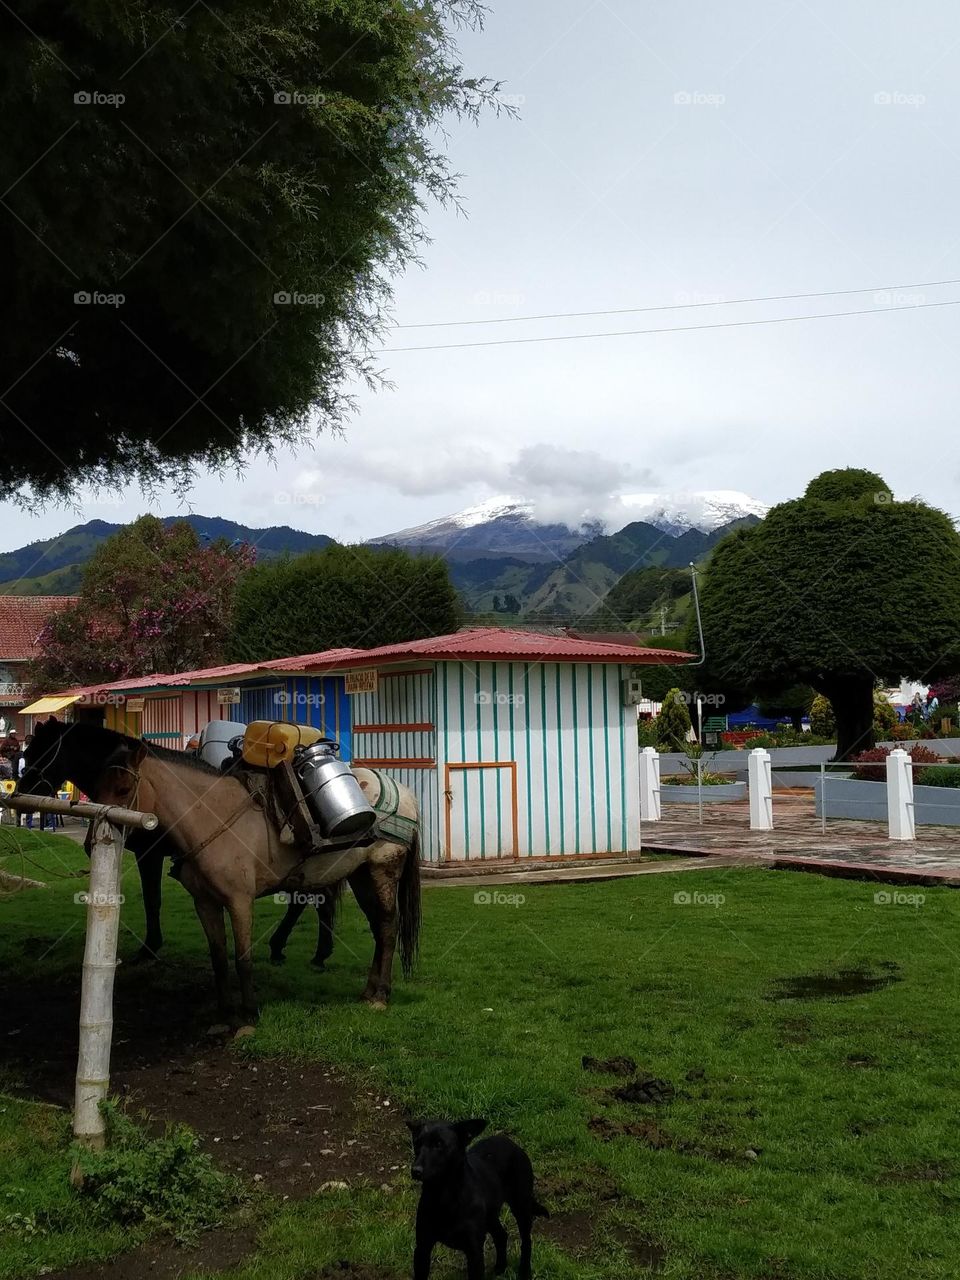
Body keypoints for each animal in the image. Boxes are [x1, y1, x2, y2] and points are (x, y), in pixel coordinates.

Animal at [20, 721, 419, 1018]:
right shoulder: (204, 900)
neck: (210, 814)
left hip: (383, 870)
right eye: (98, 784)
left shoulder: (235, 898)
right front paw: (225, 1012)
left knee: (386, 926)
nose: (20, 792)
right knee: (365, 922)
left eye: (122, 787)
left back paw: (378, 994)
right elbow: (218, 957)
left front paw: (248, 1014)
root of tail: (406, 792)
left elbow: (239, 956)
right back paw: (358, 983)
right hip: (358, 874)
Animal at [407, 1121, 547, 1280]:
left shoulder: (474, 1252)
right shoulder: (422, 1248)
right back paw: (500, 1267)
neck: (445, 1195)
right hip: (490, 1216)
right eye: (417, 1143)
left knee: (526, 1241)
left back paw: (524, 1272)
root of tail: (512, 1144)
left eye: (439, 1144)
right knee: (501, 1235)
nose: (416, 1171)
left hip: (521, 1206)